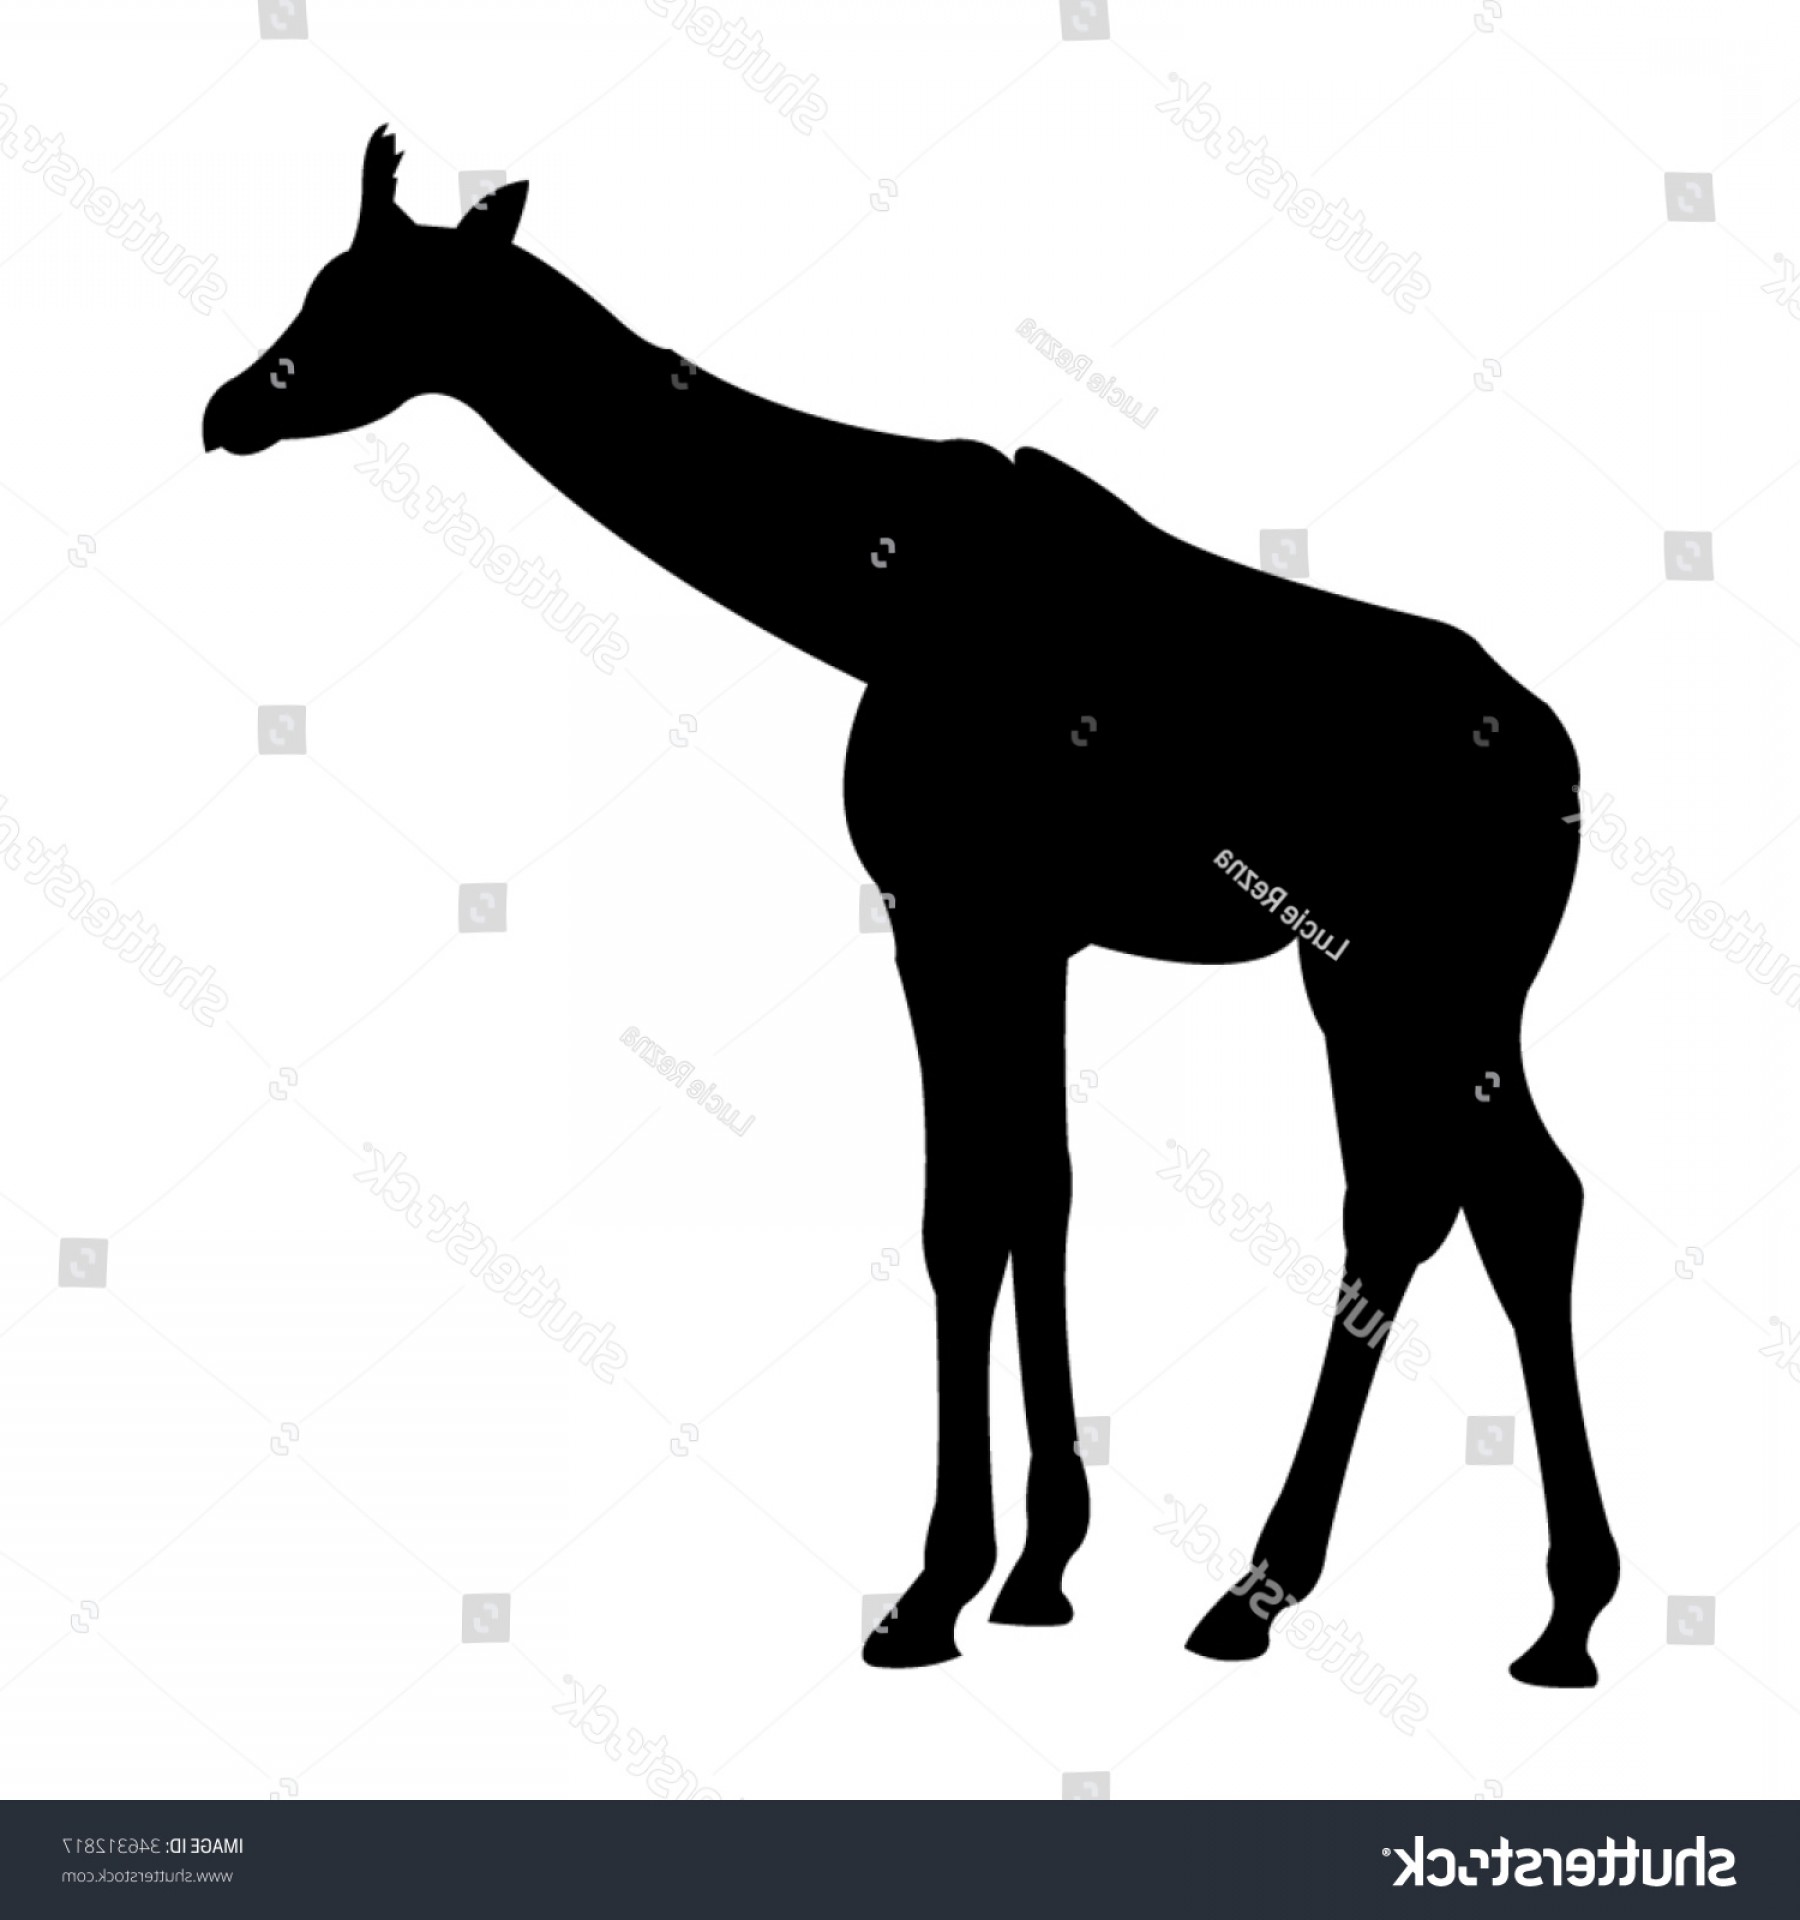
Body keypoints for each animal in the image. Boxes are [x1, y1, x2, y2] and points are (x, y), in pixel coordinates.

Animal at [203, 129, 1621, 1687]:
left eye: (363, 299)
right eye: (319, 284)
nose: (227, 408)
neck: (869, 597)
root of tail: (1563, 772)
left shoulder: (951, 909)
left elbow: (964, 1214)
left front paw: (934, 1589)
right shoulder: (1021, 930)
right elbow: (1034, 1194)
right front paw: (1041, 1570)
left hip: (1407, 977)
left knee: (1456, 1202)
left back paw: (1336, 1598)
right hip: (1405, 984)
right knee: (1483, 1202)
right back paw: (1507, 1612)